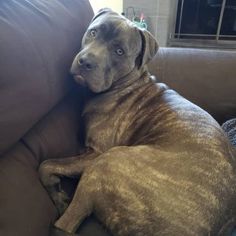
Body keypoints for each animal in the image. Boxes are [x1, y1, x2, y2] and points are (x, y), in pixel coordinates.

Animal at [38, 8, 236, 235]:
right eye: (93, 33)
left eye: (119, 52)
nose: (86, 62)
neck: (125, 84)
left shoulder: (96, 153)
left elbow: (47, 164)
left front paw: (57, 191)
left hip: (106, 162)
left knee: (68, 222)